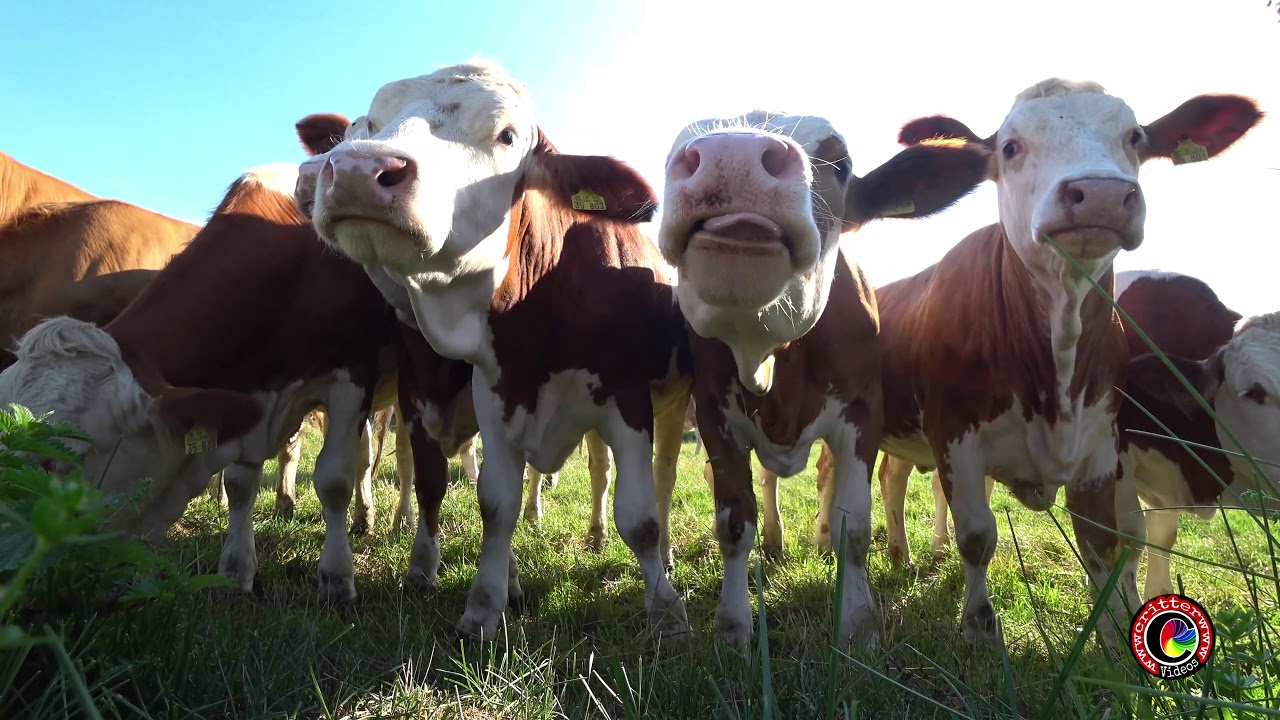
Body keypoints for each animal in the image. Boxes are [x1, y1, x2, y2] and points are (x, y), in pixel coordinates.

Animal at [0, 113, 406, 602]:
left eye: (58, 461)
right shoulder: (247, 391)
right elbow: (240, 481)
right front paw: (235, 570)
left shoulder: (351, 378)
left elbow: (333, 479)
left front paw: (337, 578)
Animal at [297, 60, 691, 641]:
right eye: (370, 122)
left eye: (507, 136)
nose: (357, 170)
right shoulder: (490, 396)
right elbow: (492, 504)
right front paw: (484, 605)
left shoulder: (627, 399)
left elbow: (640, 517)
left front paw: (666, 610)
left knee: (656, 480)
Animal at [656, 111, 990, 648]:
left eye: (842, 164)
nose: (733, 154)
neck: (769, 354)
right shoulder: (713, 414)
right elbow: (734, 522)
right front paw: (734, 626)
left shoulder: (862, 413)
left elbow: (853, 526)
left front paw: (857, 623)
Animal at [857, 78, 1260, 646]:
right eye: (1009, 146)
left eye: (1135, 137)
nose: (1103, 193)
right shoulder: (955, 437)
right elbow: (977, 536)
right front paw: (979, 627)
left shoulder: (1101, 450)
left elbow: (1104, 544)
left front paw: (1112, 636)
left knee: (893, 477)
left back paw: (899, 555)